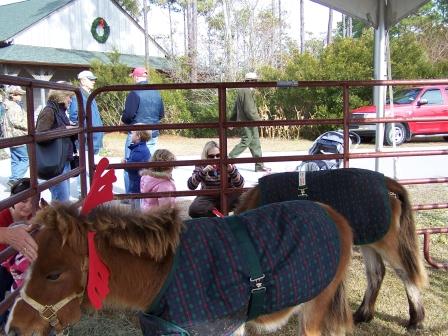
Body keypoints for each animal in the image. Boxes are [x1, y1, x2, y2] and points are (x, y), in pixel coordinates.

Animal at [234, 167, 428, 328]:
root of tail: (386, 182)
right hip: (369, 238)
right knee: (376, 273)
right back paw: (363, 315)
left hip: (386, 242)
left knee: (405, 272)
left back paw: (415, 319)